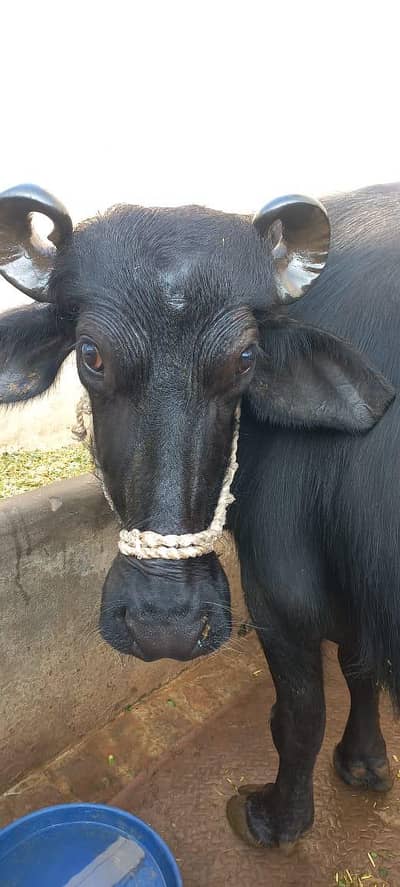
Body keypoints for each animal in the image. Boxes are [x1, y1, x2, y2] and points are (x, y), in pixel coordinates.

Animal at [0, 182, 398, 848]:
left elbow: (303, 713)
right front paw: (365, 759)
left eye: (246, 358)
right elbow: (355, 664)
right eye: (90, 354)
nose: (166, 625)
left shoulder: (279, 593)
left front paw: (275, 819)